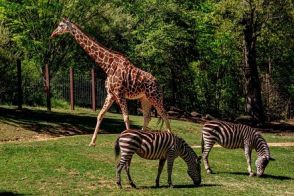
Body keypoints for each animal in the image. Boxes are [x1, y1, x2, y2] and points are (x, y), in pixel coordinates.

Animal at [49, 18, 171, 146]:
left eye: (60, 25)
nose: (53, 34)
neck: (108, 66)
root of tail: (158, 83)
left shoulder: (119, 93)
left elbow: (126, 117)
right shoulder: (110, 94)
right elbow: (100, 115)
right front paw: (92, 142)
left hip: (154, 96)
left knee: (164, 114)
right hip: (145, 99)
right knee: (147, 117)